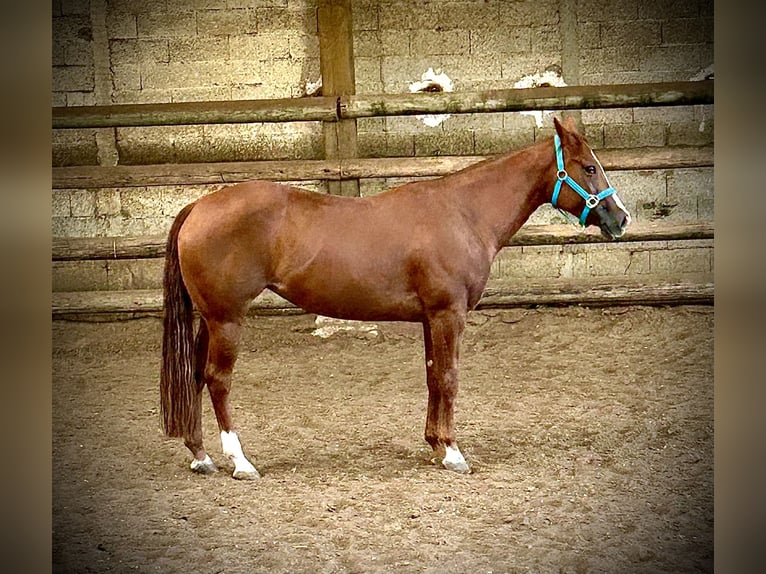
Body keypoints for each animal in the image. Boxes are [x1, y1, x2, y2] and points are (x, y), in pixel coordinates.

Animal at [160, 117, 632, 482]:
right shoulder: (448, 315)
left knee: (196, 377)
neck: (464, 213)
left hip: (209, 321)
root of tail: (199, 206)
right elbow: (449, 378)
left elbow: (432, 376)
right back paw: (240, 462)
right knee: (218, 381)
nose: (621, 218)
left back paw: (201, 457)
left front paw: (436, 446)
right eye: (589, 167)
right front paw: (453, 452)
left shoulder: (429, 318)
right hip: (227, 320)